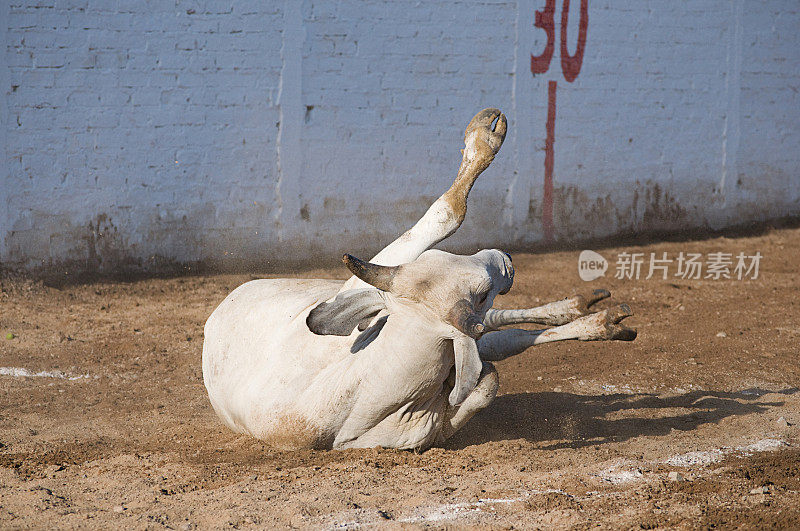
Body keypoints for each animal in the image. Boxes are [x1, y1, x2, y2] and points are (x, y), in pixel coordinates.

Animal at [202, 110, 636, 450]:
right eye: (480, 293)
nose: (506, 259)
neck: (364, 386)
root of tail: (215, 318)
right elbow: (487, 374)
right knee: (497, 332)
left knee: (501, 331)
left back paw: (588, 314)